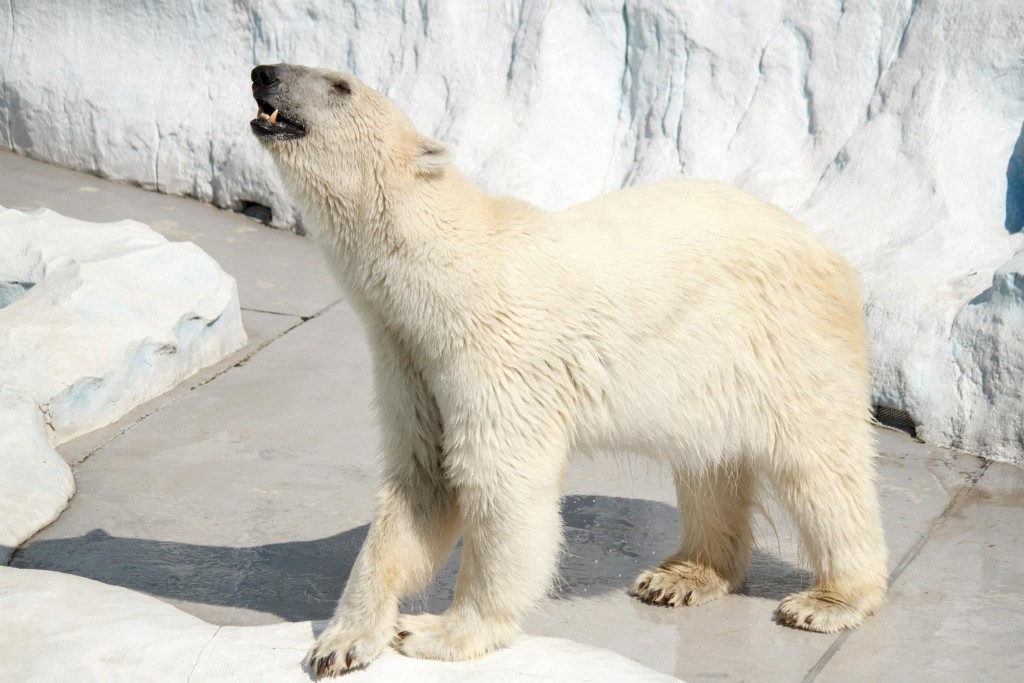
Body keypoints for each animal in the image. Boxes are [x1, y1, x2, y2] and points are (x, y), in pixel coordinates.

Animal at [249, 63, 888, 679]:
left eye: (340, 85)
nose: (263, 73)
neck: (445, 270)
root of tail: (834, 255)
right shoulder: (409, 358)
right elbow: (419, 481)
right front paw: (342, 642)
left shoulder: (492, 353)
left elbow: (502, 485)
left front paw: (439, 631)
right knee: (710, 462)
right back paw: (681, 575)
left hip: (785, 342)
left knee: (820, 467)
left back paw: (827, 600)